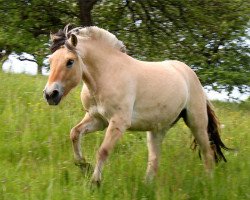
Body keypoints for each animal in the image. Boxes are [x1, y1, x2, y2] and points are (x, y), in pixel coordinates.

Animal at [43, 24, 229, 184]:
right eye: (50, 61)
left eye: (70, 61)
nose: (50, 94)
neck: (107, 74)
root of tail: (190, 74)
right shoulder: (97, 119)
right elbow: (74, 133)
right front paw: (84, 166)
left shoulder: (118, 122)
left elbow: (103, 151)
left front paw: (95, 183)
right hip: (157, 129)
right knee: (154, 161)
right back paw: (147, 186)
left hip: (196, 123)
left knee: (207, 153)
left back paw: (209, 183)